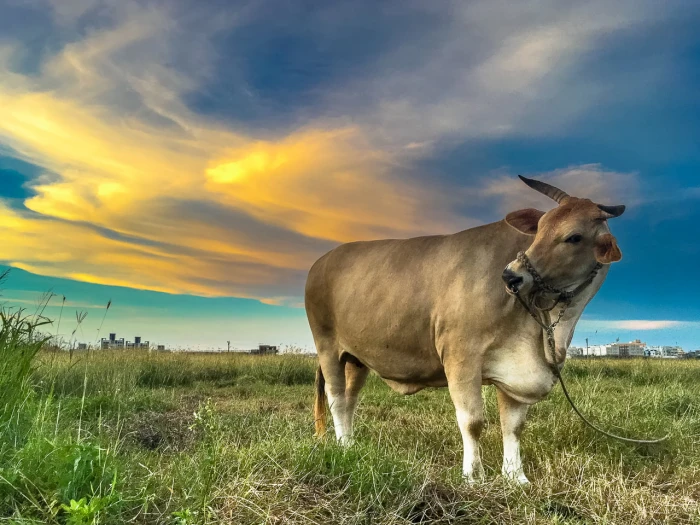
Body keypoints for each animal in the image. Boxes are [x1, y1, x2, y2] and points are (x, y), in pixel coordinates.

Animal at [304, 176, 624, 484]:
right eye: (539, 229)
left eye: (574, 237)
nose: (512, 276)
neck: (547, 327)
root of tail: (323, 260)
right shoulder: (461, 356)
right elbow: (472, 421)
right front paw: (473, 476)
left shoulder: (517, 368)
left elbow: (514, 426)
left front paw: (516, 477)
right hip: (327, 346)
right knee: (336, 397)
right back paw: (342, 446)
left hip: (357, 358)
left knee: (350, 398)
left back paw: (350, 444)